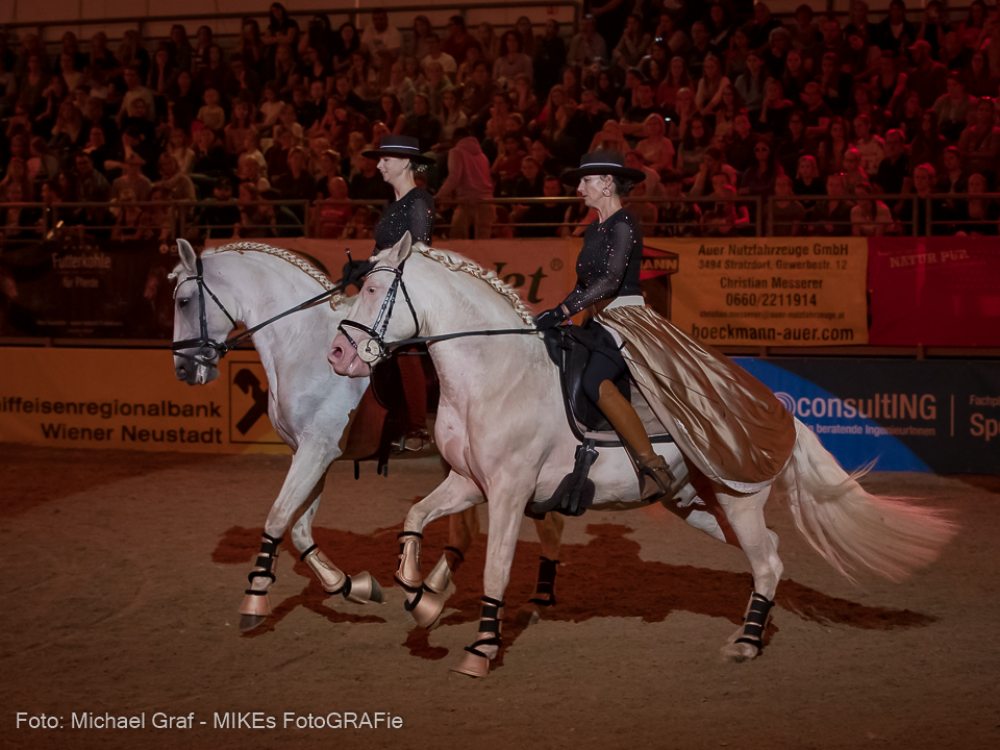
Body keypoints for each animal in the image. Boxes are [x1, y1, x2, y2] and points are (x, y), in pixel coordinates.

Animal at [171, 239, 564, 636]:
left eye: (184, 301)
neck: (301, 340)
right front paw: (351, 585)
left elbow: (278, 517)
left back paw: (532, 600)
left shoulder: (316, 450)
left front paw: (256, 598)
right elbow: (300, 529)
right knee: (471, 529)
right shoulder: (310, 453)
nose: (184, 369)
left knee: (547, 524)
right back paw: (433, 591)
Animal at [326, 236, 952, 680]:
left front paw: (480, 649)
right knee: (768, 556)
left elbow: (497, 567)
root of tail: (776, 407)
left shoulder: (508, 490)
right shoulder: (468, 481)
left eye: (375, 292)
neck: (495, 371)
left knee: (768, 560)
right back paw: (753, 630)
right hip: (698, 504)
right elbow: (414, 517)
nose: (336, 355)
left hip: (737, 498)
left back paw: (747, 644)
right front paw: (417, 594)